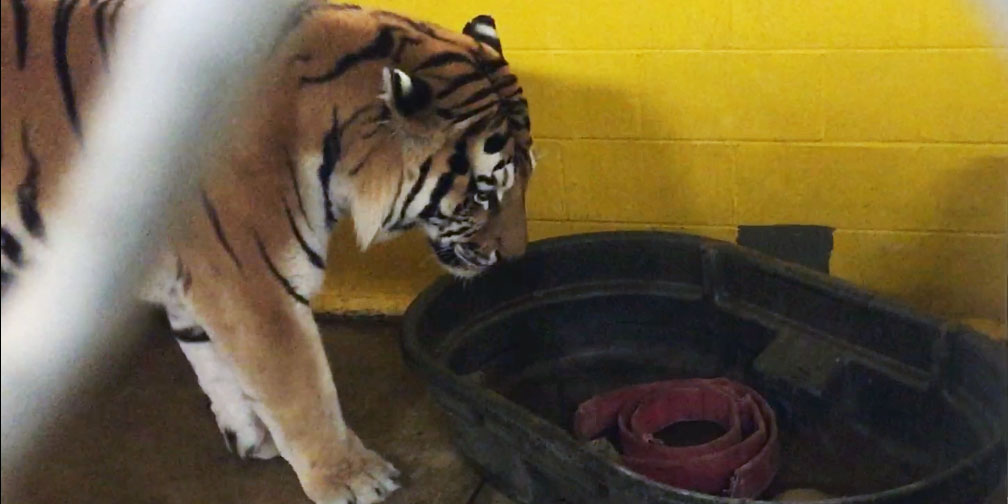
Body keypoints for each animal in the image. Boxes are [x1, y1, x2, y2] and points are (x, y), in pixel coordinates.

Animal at [0, 1, 536, 501]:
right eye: (484, 194)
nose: (515, 257)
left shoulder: (196, 279)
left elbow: (213, 360)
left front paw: (252, 434)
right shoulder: (254, 287)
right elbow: (302, 392)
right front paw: (349, 476)